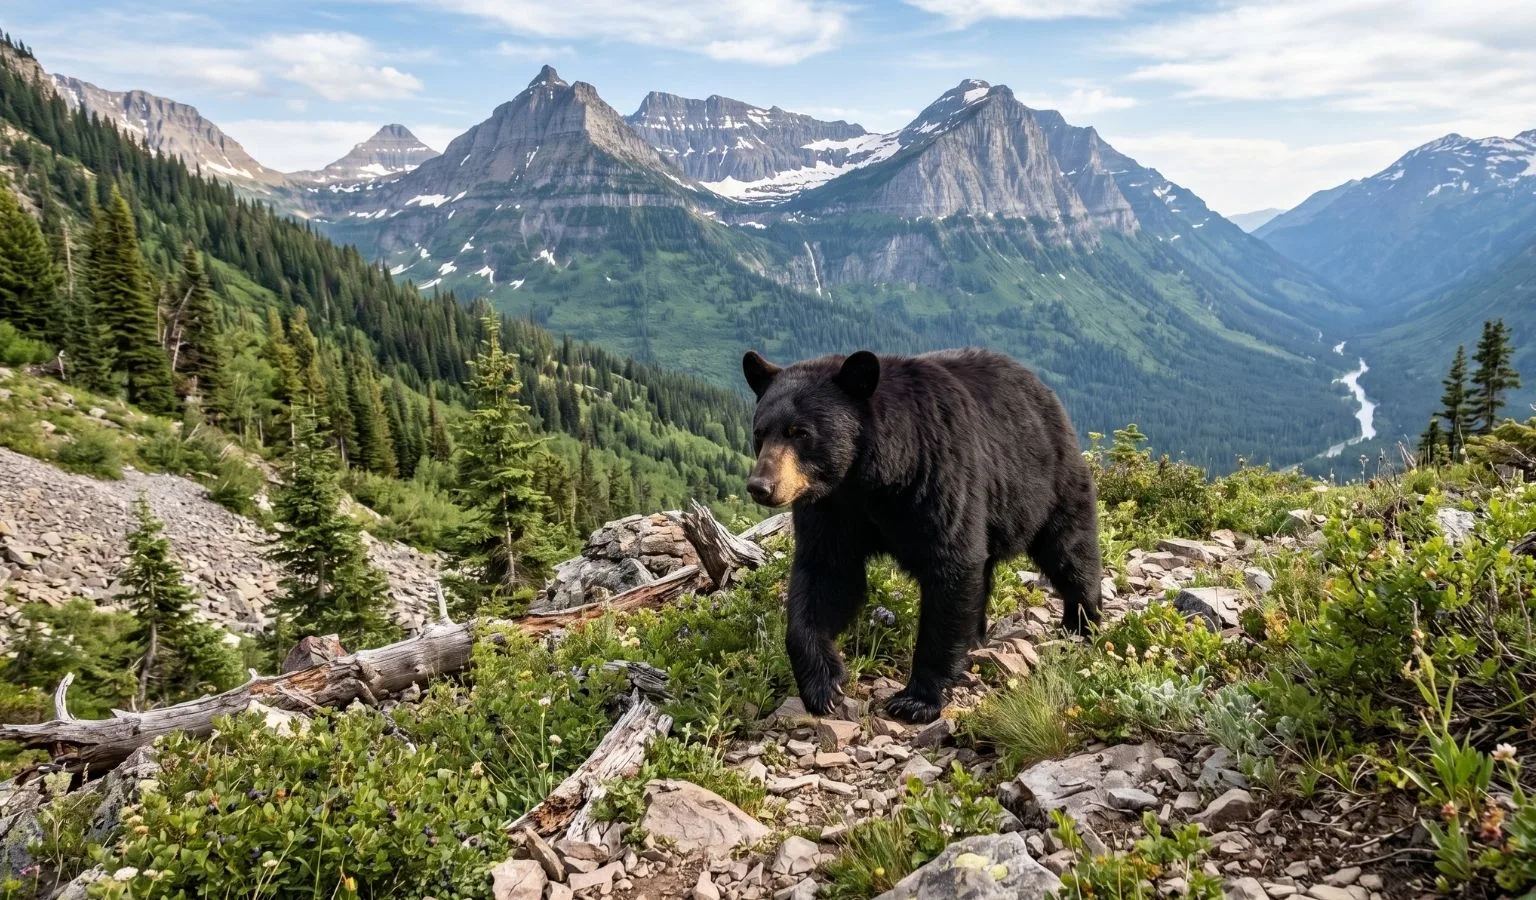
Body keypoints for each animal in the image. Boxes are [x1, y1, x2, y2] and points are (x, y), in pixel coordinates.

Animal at [742, 347, 1102, 724]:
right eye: (760, 432)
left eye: (800, 432)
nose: (761, 486)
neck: (870, 480)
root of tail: (1042, 389)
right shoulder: (832, 508)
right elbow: (826, 576)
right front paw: (823, 686)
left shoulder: (937, 479)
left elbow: (951, 569)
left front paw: (916, 699)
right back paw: (977, 637)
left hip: (1046, 481)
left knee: (1068, 549)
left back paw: (1080, 623)